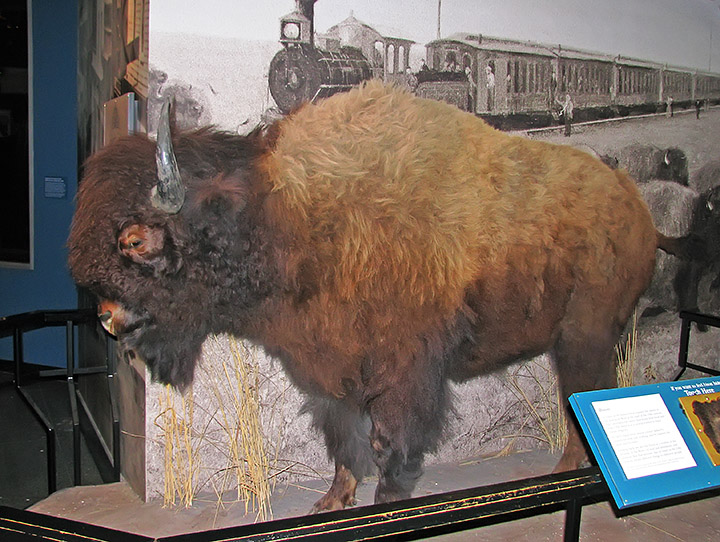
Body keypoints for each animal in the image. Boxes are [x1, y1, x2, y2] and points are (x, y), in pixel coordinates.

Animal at [69, 81, 676, 512]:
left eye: (134, 240)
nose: (109, 319)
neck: (289, 215)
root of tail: (636, 208)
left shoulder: (404, 372)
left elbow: (391, 444)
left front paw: (387, 505)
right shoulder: (329, 365)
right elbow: (344, 439)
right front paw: (330, 503)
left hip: (585, 336)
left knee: (587, 394)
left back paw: (568, 472)